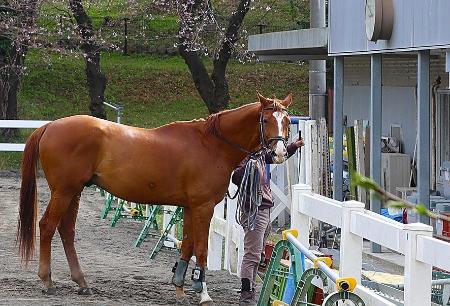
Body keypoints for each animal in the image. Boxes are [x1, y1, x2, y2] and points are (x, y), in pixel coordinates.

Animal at [16, 92, 292, 304]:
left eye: (287, 120)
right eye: (265, 119)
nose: (279, 152)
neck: (211, 144)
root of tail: (50, 126)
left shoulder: (190, 208)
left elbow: (187, 245)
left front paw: (180, 287)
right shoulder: (203, 208)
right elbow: (201, 249)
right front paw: (202, 293)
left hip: (74, 192)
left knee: (66, 231)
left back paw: (81, 281)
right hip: (64, 192)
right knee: (47, 226)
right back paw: (47, 280)